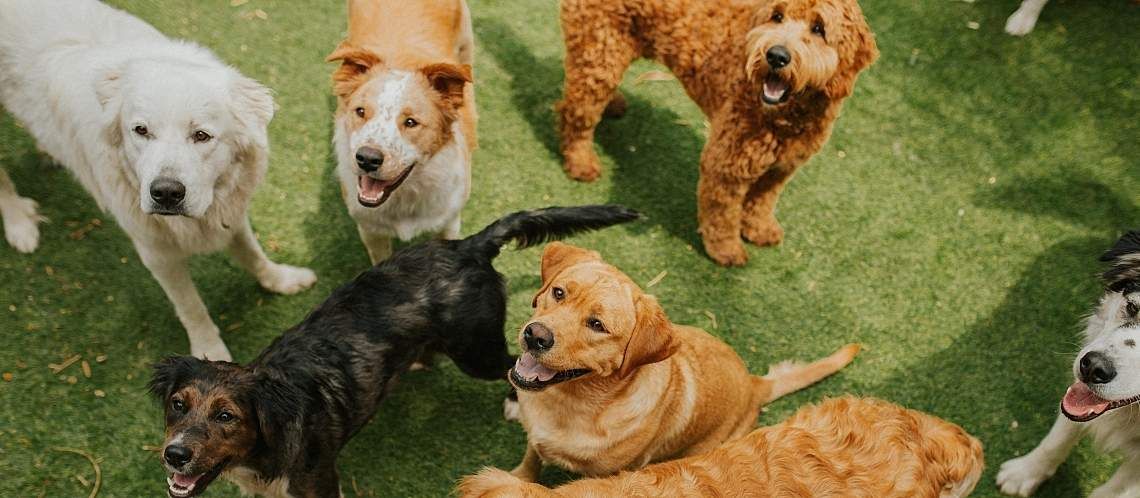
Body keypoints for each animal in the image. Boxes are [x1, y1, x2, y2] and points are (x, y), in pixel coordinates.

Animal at [0, 0, 316, 360]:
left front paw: (281, 279)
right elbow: (191, 307)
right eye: (141, 130)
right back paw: (19, 224)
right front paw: (208, 353)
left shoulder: (230, 213)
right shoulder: (157, 253)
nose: (165, 193)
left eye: (201, 135)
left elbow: (254, 255)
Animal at [145, 205, 638, 496]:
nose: (174, 455)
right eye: (177, 405)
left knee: (513, 366)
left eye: (227, 416)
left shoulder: (319, 482)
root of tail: (467, 246)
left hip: (475, 351)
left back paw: (515, 402)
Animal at [556, 0, 875, 265]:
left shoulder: (782, 167)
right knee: (575, 111)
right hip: (599, 51)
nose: (776, 56)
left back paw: (614, 104)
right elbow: (722, 212)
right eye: (777, 16)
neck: (787, 116)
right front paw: (726, 250)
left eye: (819, 28)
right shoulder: (727, 163)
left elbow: (763, 200)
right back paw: (581, 161)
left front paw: (759, 228)